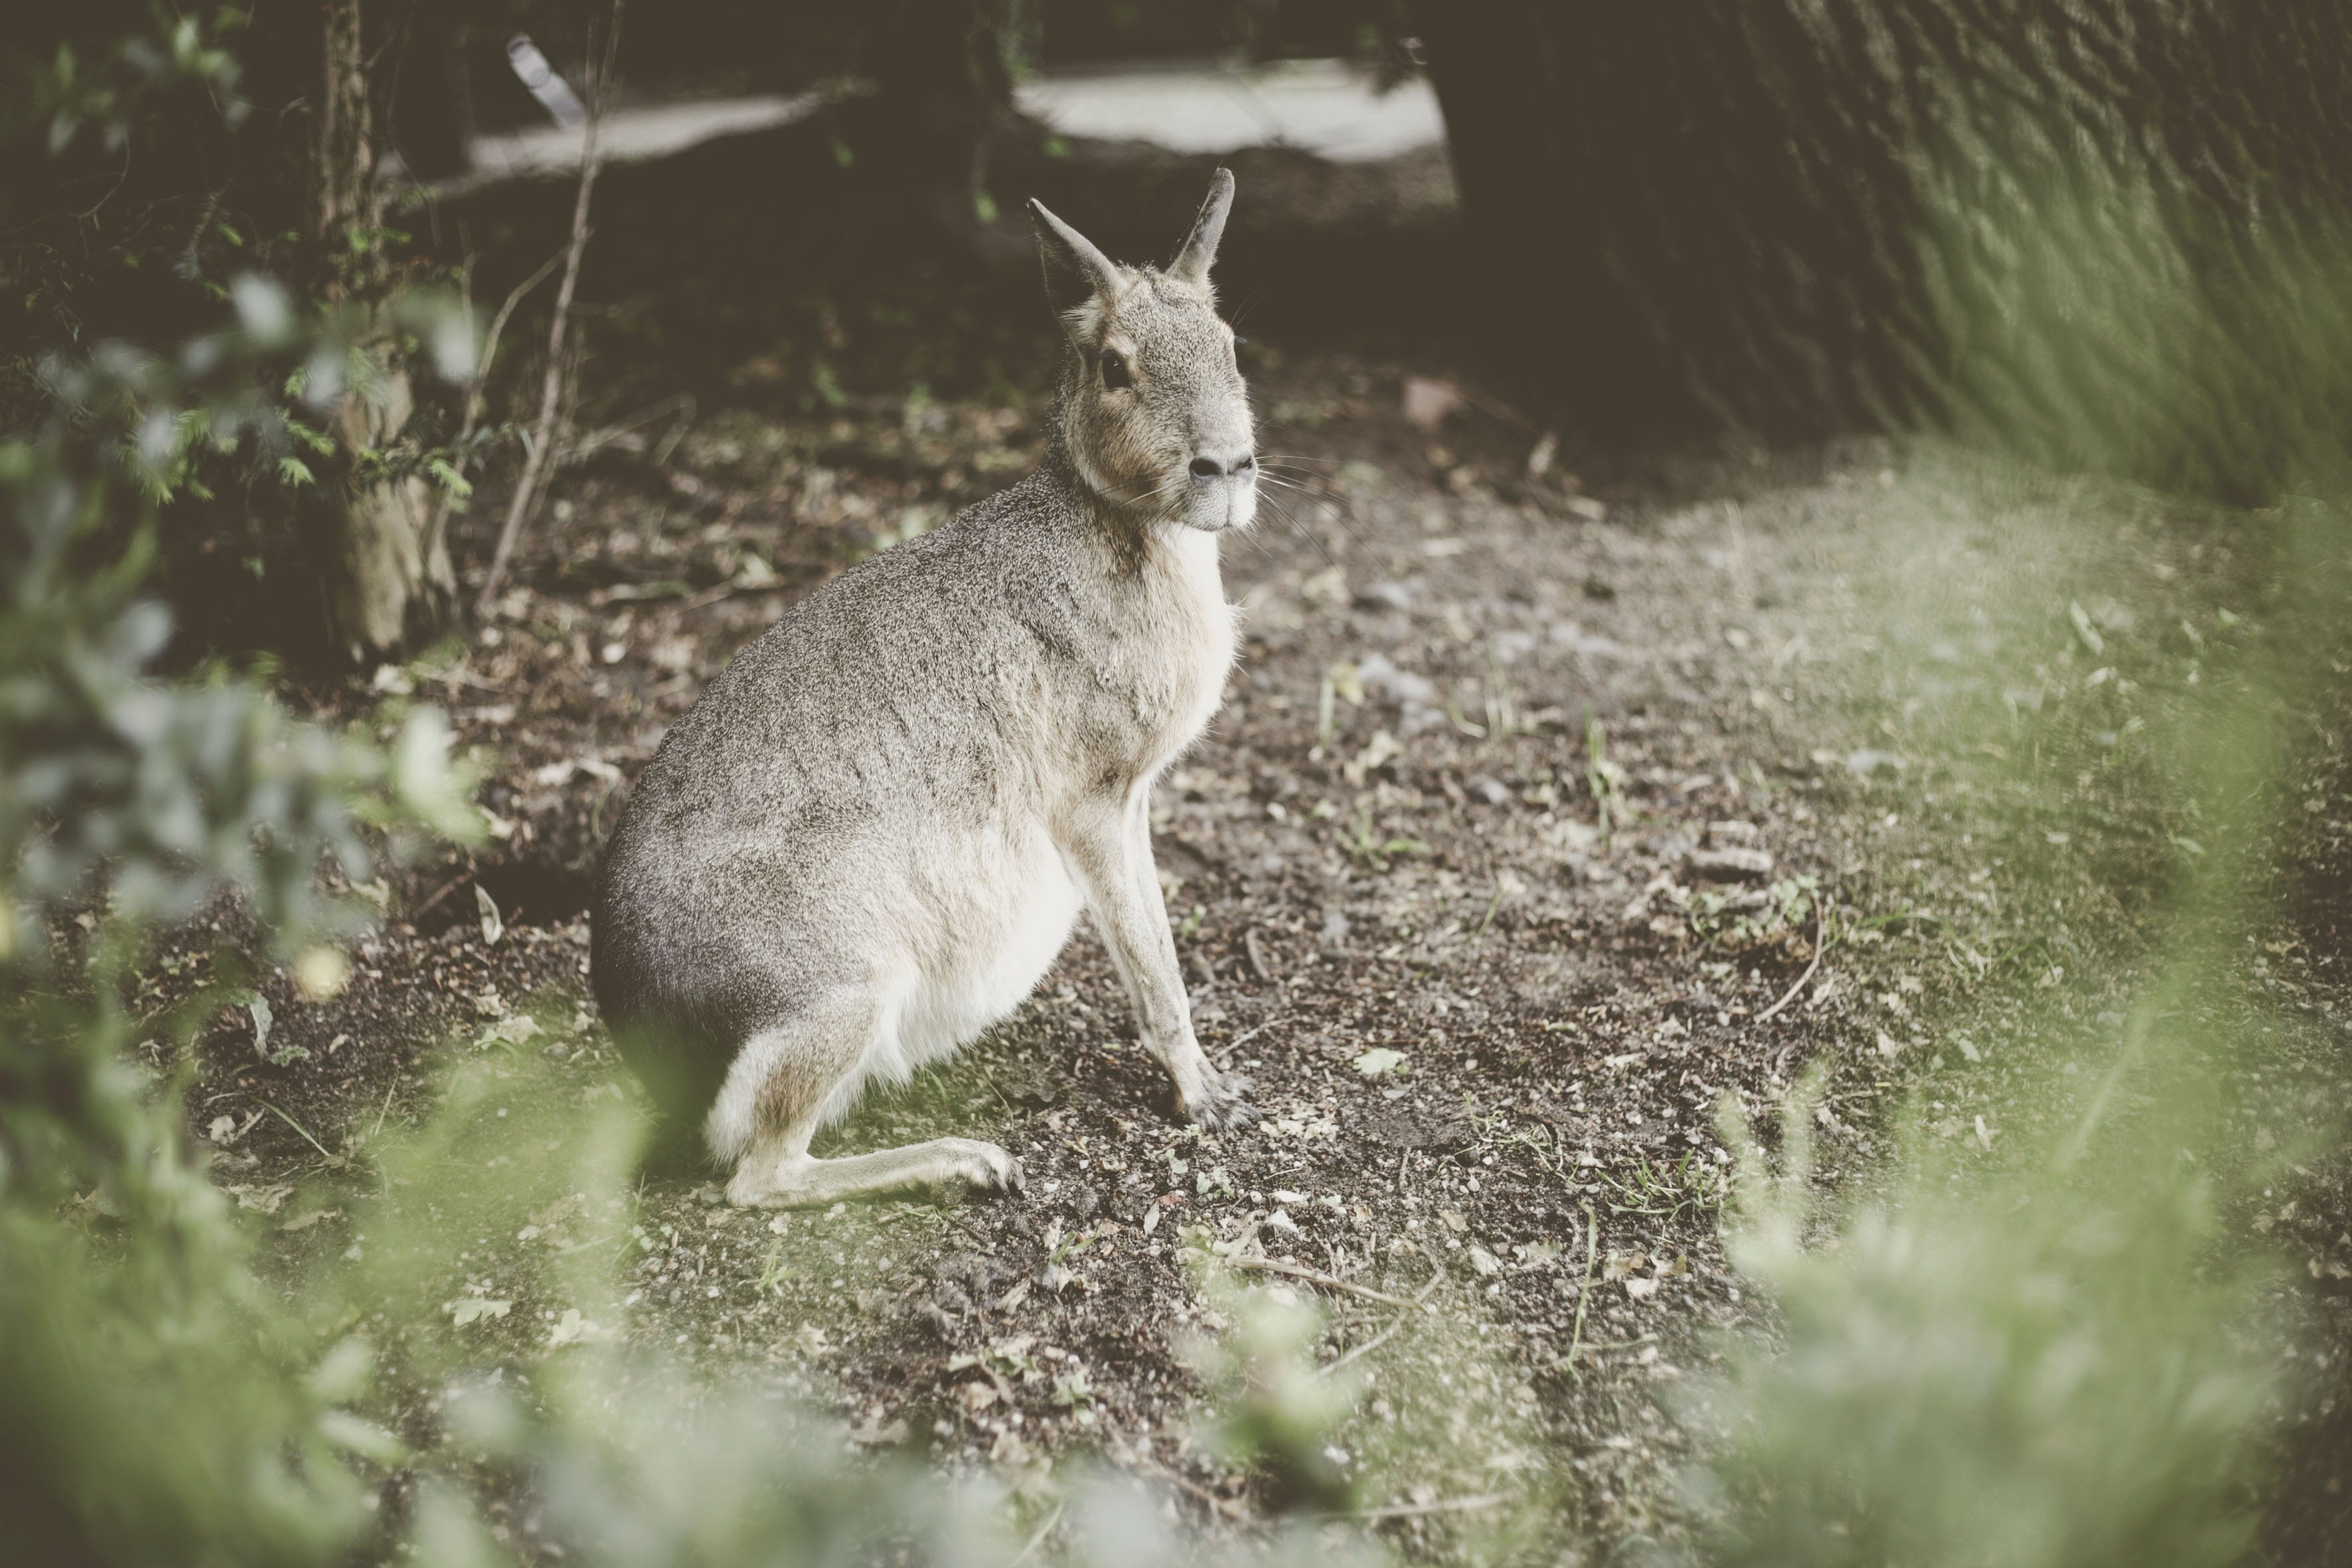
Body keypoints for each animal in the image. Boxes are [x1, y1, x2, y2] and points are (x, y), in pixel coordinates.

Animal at [592, 172, 1261, 1208]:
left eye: (1230, 344)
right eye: (1115, 367)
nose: (1225, 466)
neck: (1120, 528)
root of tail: (647, 1041)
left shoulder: (1134, 800)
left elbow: (1153, 927)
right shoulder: (1091, 800)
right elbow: (1150, 960)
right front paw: (1202, 1092)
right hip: (850, 983)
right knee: (761, 1174)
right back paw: (968, 1159)